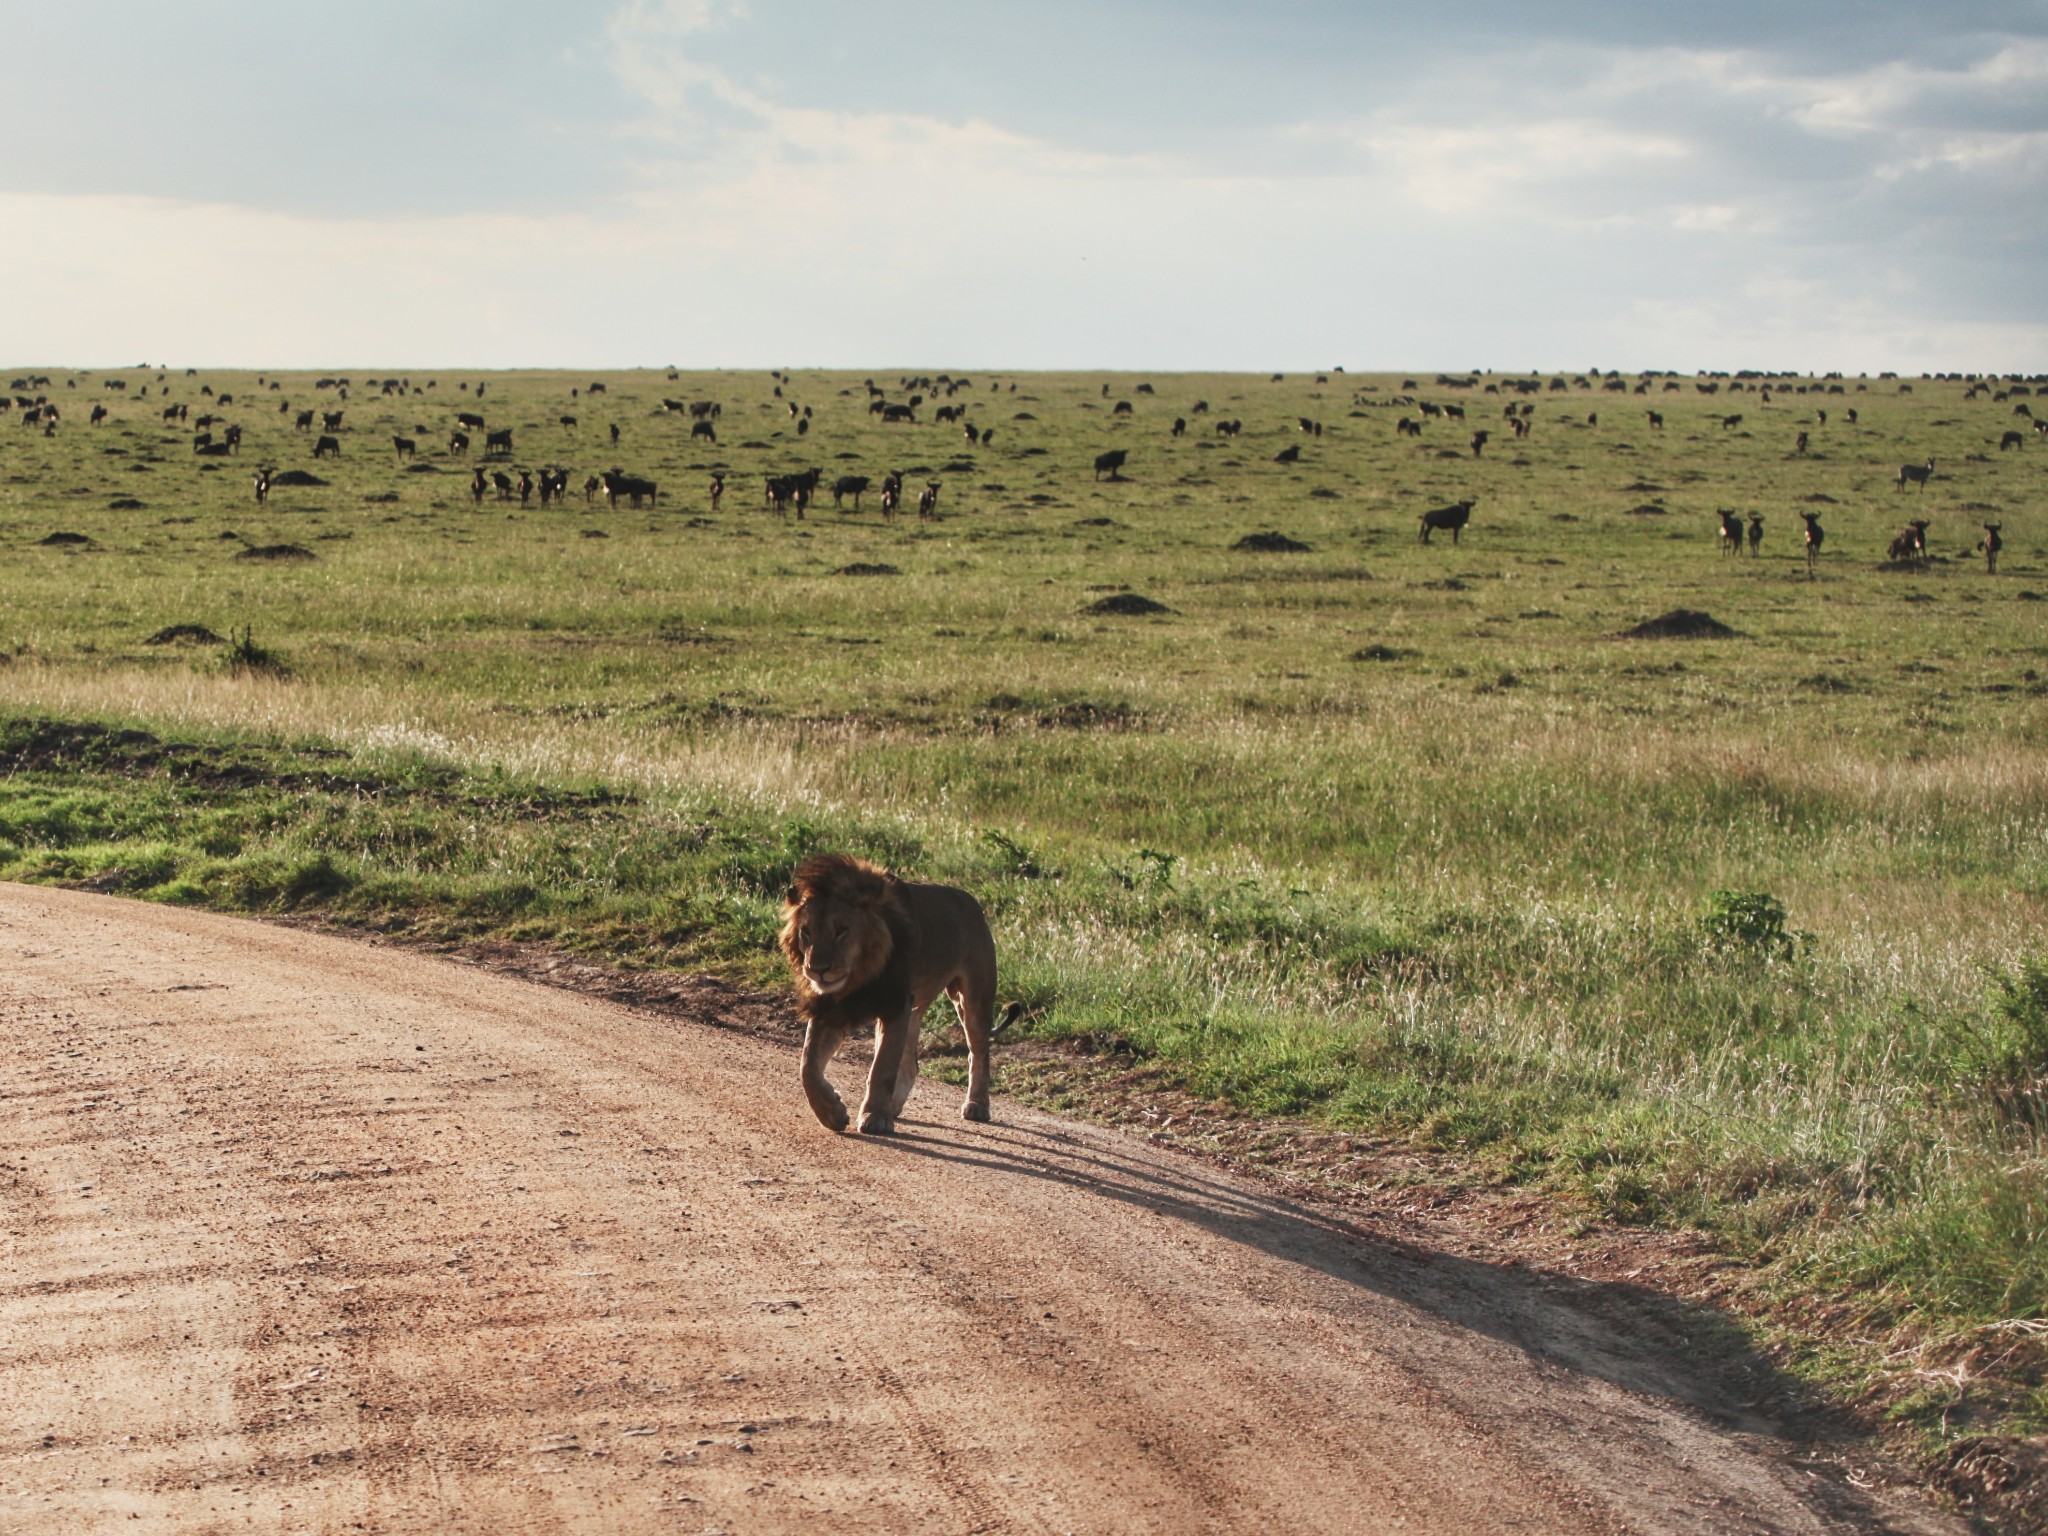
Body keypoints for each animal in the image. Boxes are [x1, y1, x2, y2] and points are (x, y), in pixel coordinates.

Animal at [774, 860, 1015, 1138]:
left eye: (841, 930)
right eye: (806, 932)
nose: (817, 969)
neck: (860, 973)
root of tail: (972, 902)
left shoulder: (895, 1004)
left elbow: (883, 1066)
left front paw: (875, 1118)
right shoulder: (830, 1006)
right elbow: (808, 1067)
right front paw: (833, 1114)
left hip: (973, 999)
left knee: (979, 1052)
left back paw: (977, 1106)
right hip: (915, 1009)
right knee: (911, 1065)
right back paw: (893, 1106)